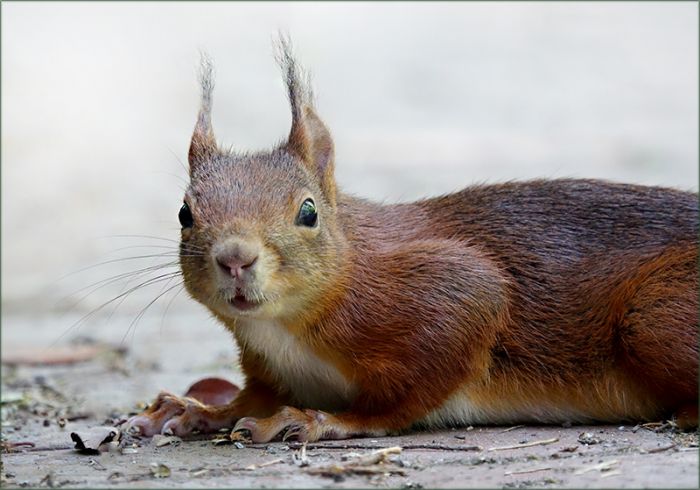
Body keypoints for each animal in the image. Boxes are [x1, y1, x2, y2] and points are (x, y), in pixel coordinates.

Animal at [125, 39, 698, 442]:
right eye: (184, 213)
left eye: (308, 212)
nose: (235, 258)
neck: (282, 329)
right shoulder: (270, 367)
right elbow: (252, 398)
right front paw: (196, 409)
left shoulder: (454, 291)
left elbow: (405, 397)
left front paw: (322, 420)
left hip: (655, 315)